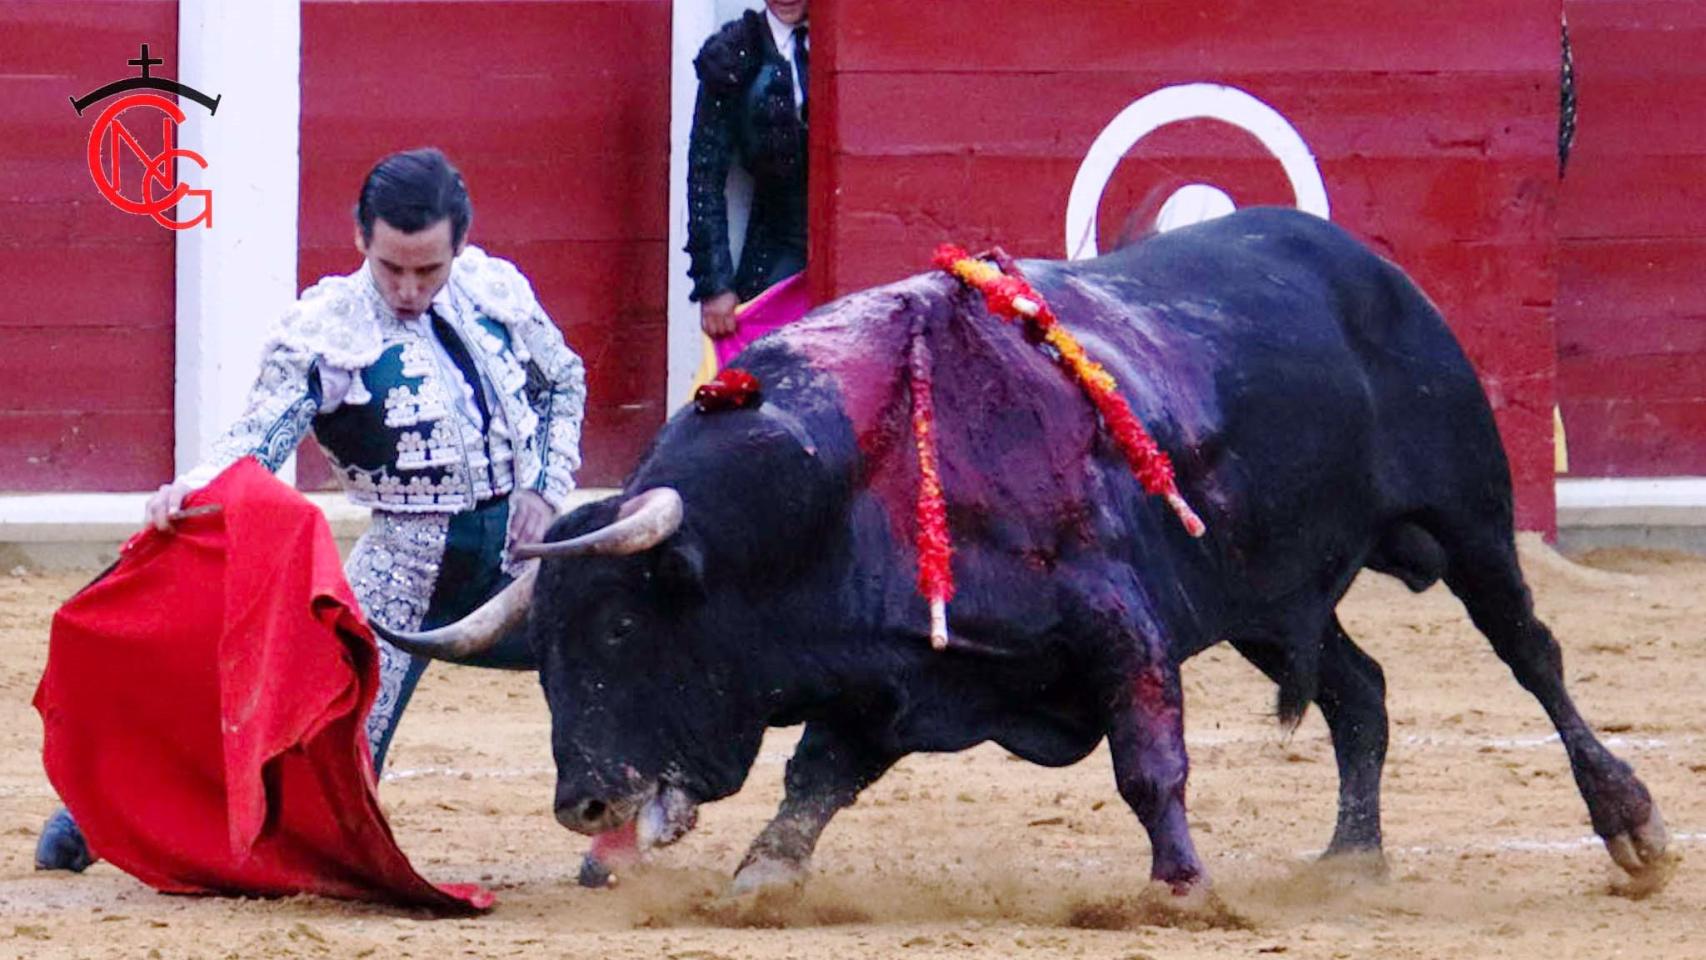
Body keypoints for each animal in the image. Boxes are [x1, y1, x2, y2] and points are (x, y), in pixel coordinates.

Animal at [380, 208, 1671, 893]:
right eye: (544, 658)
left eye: (621, 628)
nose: (583, 805)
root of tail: (1360, 259)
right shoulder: (893, 674)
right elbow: (814, 781)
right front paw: (760, 884)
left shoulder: (1116, 622)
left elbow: (1148, 760)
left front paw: (1180, 889)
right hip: (1261, 595)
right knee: (1360, 689)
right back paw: (1348, 858)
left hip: (1469, 518)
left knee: (1531, 655)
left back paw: (1631, 826)